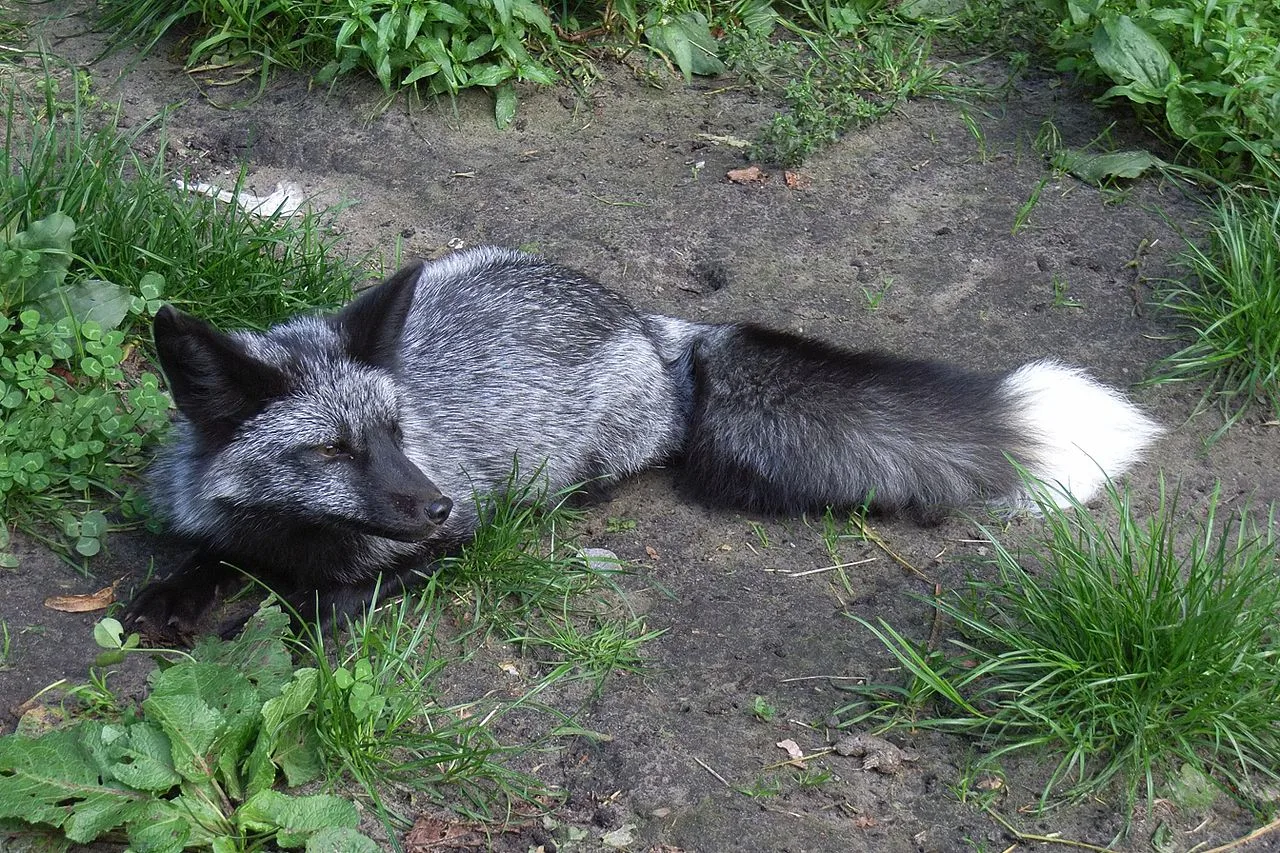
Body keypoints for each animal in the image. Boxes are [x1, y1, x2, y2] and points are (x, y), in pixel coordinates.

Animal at [126, 246, 1163, 640]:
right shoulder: (224, 517)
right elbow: (203, 550)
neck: (295, 535)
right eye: (333, 451)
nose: (434, 501)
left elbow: (360, 586)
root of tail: (657, 325)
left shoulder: (454, 537)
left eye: (393, 433)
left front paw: (306, 616)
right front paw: (172, 594)